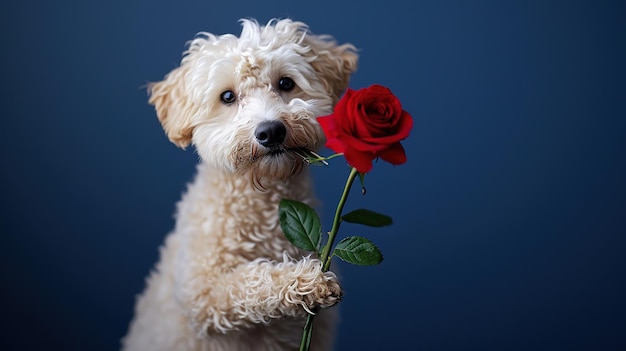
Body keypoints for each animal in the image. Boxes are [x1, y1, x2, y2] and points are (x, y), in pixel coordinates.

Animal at [122, 19, 356, 351]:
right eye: (227, 97)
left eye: (286, 83)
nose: (271, 131)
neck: (265, 198)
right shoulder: (202, 292)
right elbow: (247, 282)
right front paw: (304, 281)